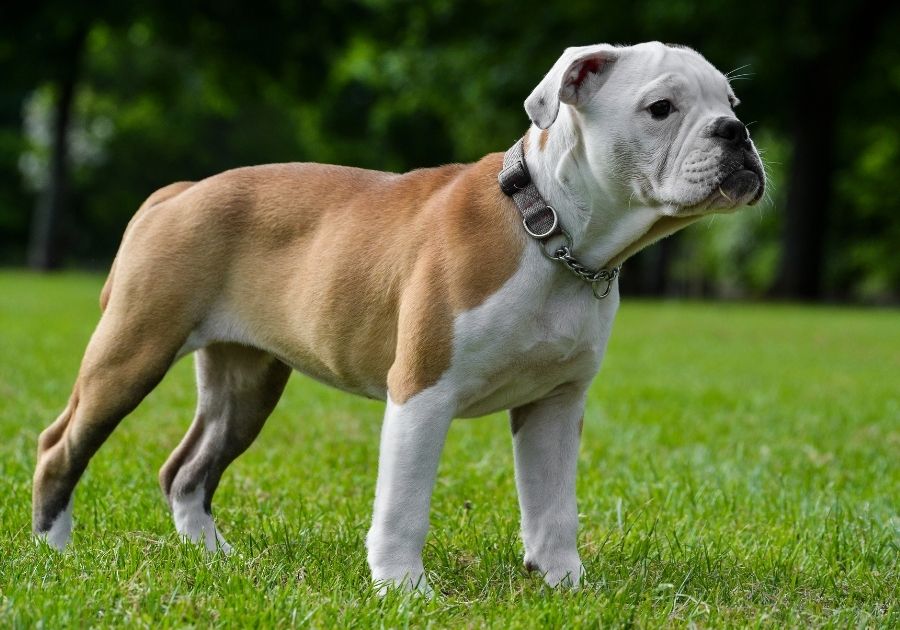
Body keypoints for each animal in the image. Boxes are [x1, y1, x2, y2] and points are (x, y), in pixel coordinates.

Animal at [33, 42, 768, 596]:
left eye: (731, 106)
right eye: (661, 108)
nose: (737, 133)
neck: (550, 231)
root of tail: (180, 192)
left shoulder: (555, 404)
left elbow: (554, 506)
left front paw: (564, 584)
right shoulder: (422, 391)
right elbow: (405, 503)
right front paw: (402, 589)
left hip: (246, 382)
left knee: (187, 471)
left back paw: (215, 559)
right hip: (133, 350)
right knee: (61, 444)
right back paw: (54, 551)